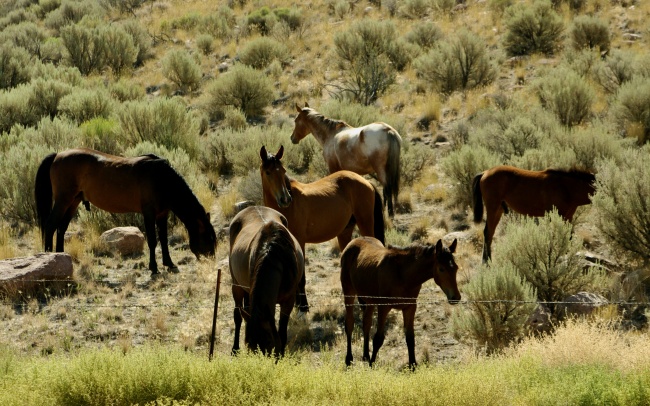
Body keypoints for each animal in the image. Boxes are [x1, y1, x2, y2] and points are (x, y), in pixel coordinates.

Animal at [34, 147, 216, 274]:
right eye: (207, 238)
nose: (211, 260)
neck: (161, 179)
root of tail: (57, 155)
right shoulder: (149, 213)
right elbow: (152, 240)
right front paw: (154, 268)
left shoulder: (162, 214)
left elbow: (164, 239)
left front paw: (169, 263)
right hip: (64, 200)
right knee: (50, 226)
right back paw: (51, 257)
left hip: (73, 201)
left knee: (61, 228)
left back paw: (62, 256)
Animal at [228, 205, 304, 356]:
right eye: (250, 346)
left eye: (269, 343)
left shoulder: (288, 300)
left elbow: (282, 330)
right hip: (236, 285)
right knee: (237, 315)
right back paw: (235, 349)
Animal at [260, 144, 384, 312]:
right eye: (268, 172)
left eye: (283, 171)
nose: (285, 199)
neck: (288, 209)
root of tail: (367, 182)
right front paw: (298, 304)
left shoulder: (300, 241)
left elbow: (302, 277)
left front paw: (304, 307)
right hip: (345, 232)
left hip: (365, 224)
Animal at [340, 236, 460, 370]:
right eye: (441, 269)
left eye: (456, 268)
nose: (456, 297)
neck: (402, 275)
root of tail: (353, 241)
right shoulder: (384, 307)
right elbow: (378, 338)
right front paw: (372, 365)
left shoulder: (410, 307)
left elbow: (410, 338)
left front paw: (413, 366)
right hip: (349, 292)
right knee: (349, 324)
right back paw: (349, 359)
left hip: (369, 300)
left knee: (366, 323)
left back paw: (366, 356)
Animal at [468, 165, 596, 264]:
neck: (565, 188)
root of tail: (485, 172)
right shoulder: (556, 215)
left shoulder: (568, 216)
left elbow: (568, 236)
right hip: (492, 207)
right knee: (487, 232)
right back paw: (486, 262)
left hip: (498, 209)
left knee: (490, 233)